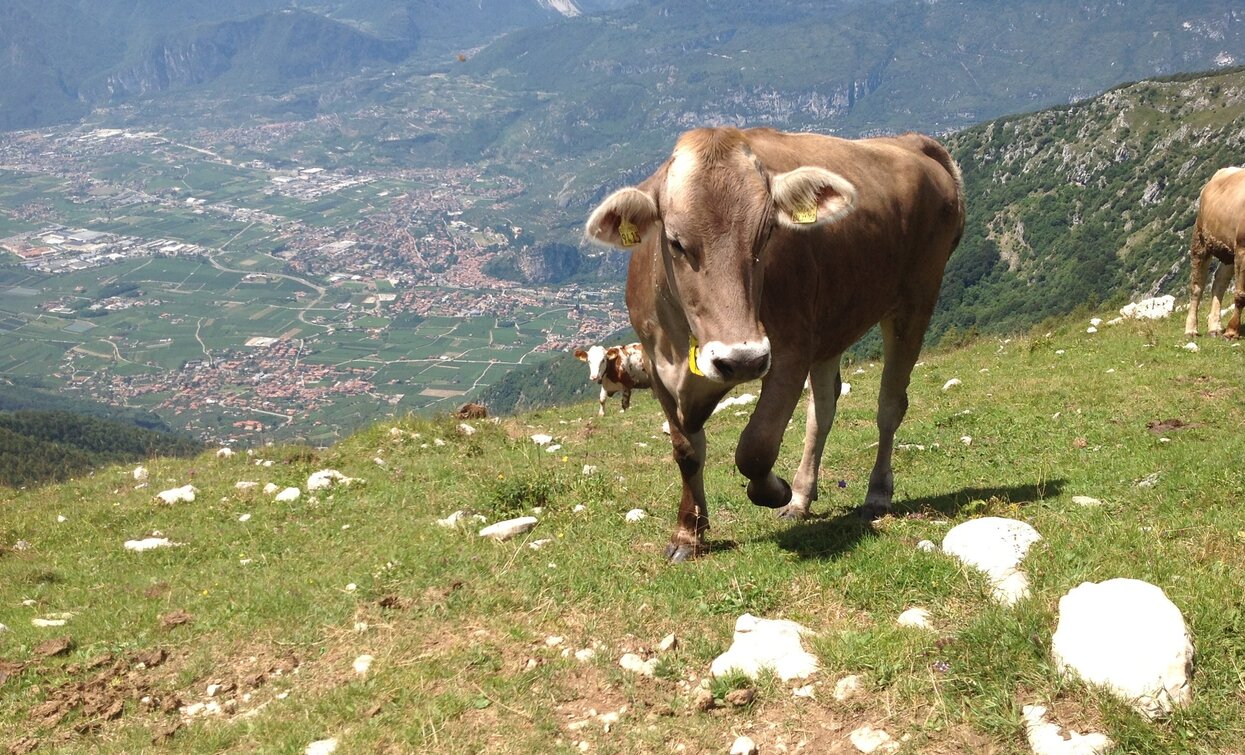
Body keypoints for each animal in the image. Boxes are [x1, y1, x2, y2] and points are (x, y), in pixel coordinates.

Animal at [1180, 170, 1240, 341]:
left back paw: (1215, 327)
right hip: (1200, 242)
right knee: (1197, 287)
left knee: (1220, 280)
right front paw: (1232, 332)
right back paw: (1191, 330)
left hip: (1228, 251)